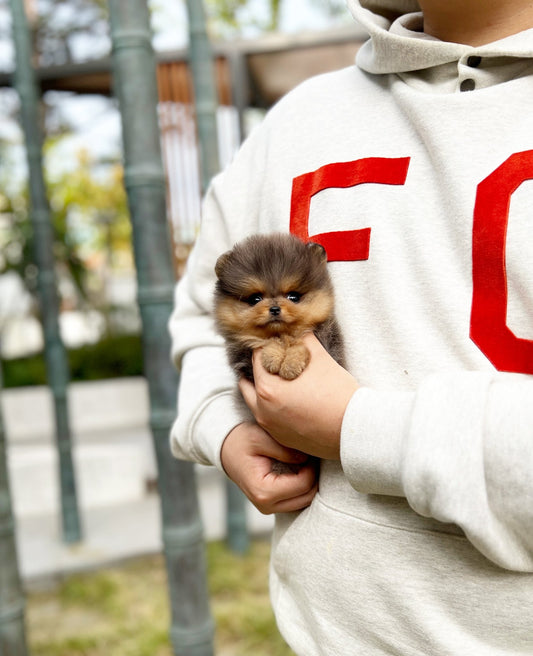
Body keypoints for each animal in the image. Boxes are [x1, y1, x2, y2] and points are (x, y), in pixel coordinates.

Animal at [213, 232, 344, 384]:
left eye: (293, 297)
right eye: (255, 299)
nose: (275, 309)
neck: (282, 334)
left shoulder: (329, 344)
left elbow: (300, 347)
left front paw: (291, 363)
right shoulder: (243, 359)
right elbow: (265, 341)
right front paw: (273, 356)